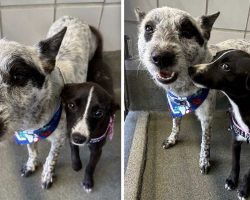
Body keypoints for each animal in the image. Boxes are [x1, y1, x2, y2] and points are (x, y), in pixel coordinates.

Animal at [0, 16, 97, 189]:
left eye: (18, 76)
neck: (35, 122)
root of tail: (72, 17)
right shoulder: (28, 134)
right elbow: (32, 150)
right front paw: (31, 164)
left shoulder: (59, 140)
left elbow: (51, 159)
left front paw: (47, 175)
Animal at [60, 28, 119, 192]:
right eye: (71, 106)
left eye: (99, 113)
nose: (79, 138)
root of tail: (98, 57)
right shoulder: (71, 131)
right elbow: (74, 151)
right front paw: (76, 164)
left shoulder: (97, 149)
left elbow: (91, 166)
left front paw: (87, 182)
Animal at [136, 6, 250, 173]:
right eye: (149, 28)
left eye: (187, 31)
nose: (161, 57)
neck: (184, 91)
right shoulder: (174, 106)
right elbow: (176, 124)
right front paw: (172, 138)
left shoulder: (206, 118)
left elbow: (205, 141)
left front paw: (204, 160)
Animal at [188, 48, 250, 200]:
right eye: (215, 56)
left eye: (226, 67)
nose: (190, 69)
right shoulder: (235, 141)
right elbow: (235, 163)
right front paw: (232, 181)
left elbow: (248, 172)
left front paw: (244, 189)